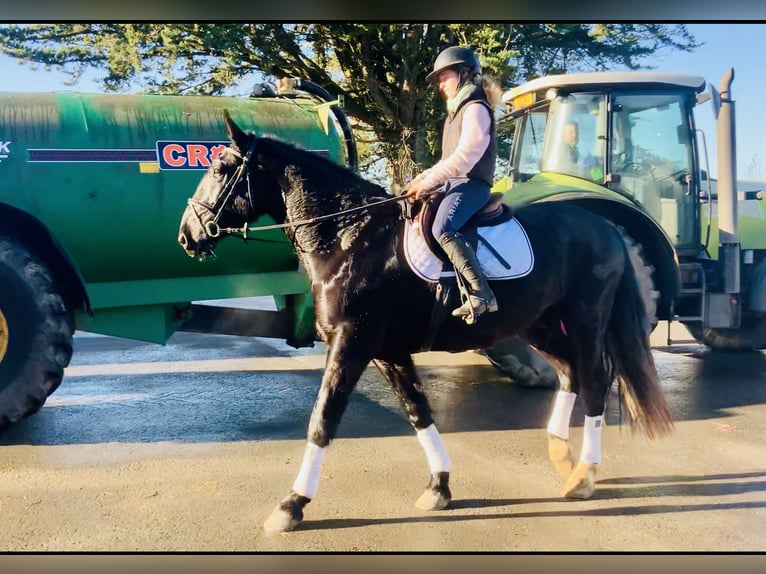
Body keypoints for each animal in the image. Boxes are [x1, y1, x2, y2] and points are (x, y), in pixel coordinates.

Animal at [178, 112, 672, 536]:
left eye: (220, 167)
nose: (187, 235)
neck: (349, 236)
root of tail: (606, 227)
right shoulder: (386, 351)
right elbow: (418, 412)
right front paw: (439, 487)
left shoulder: (351, 343)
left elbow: (323, 420)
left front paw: (292, 504)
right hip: (541, 325)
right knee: (570, 372)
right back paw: (563, 457)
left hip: (585, 321)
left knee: (595, 381)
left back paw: (584, 474)